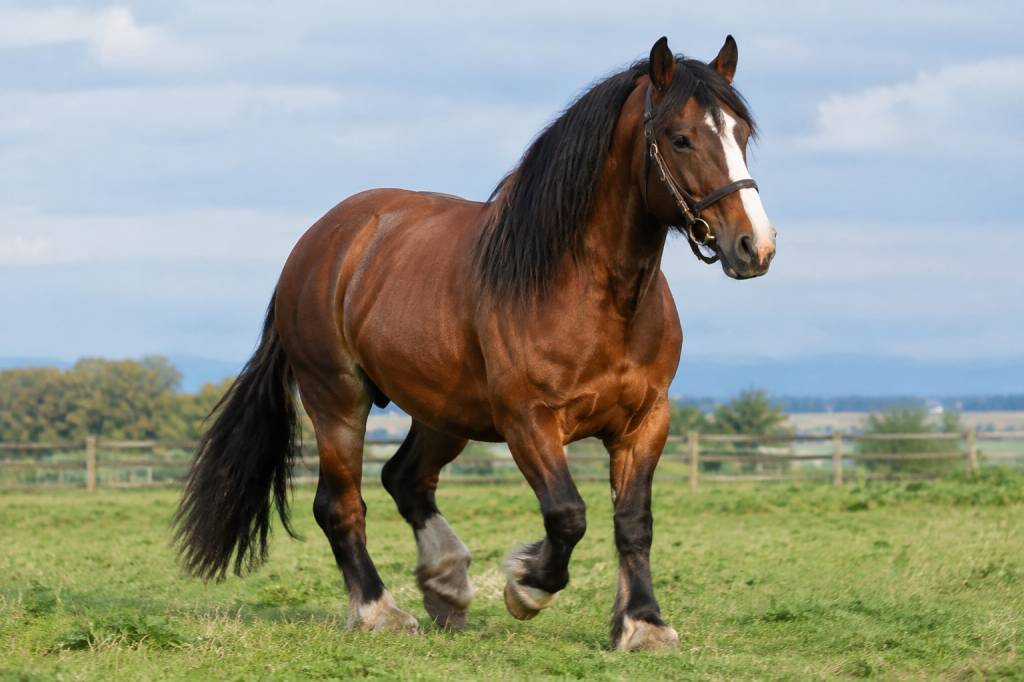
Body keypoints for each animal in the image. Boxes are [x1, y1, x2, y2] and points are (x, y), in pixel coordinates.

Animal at [174, 35, 776, 651]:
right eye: (680, 138)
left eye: (741, 134)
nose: (754, 245)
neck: (594, 294)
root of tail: (318, 244)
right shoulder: (528, 421)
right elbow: (567, 514)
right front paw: (526, 585)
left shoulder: (646, 421)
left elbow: (634, 522)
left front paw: (642, 623)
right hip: (337, 400)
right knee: (340, 505)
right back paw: (379, 610)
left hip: (443, 413)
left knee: (406, 480)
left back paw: (446, 584)